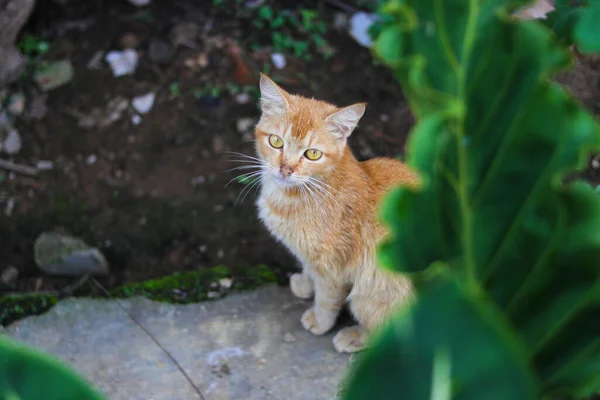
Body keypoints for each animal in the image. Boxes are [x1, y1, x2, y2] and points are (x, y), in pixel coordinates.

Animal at [251, 73, 420, 352]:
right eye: (276, 141)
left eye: (312, 154)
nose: (286, 169)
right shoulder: (311, 256)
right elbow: (309, 269)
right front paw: (305, 284)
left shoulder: (334, 268)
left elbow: (327, 299)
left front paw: (320, 322)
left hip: (372, 291)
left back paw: (353, 336)